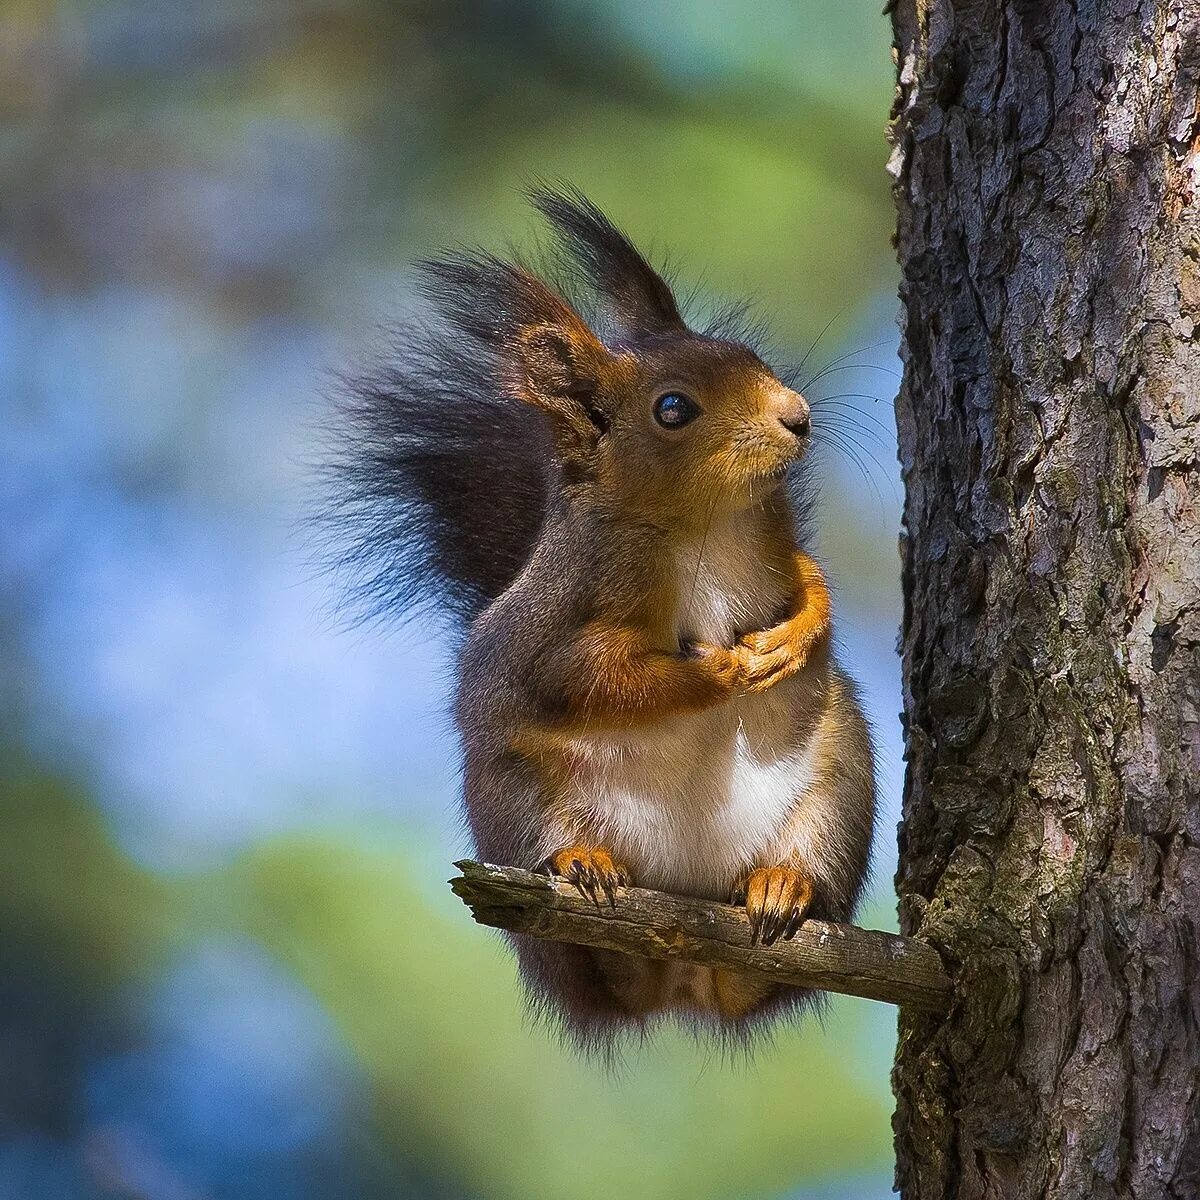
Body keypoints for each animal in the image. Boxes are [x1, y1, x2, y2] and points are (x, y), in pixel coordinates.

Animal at [333, 189, 878, 1051]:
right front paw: (715, 669)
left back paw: (782, 885)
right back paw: (585, 870)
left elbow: (817, 586)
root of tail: (682, 977)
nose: (797, 416)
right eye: (672, 409)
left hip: (839, 780)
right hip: (515, 797)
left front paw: (791, 640)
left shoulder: (779, 545)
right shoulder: (560, 623)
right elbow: (594, 679)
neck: (709, 524)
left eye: (749, 354)